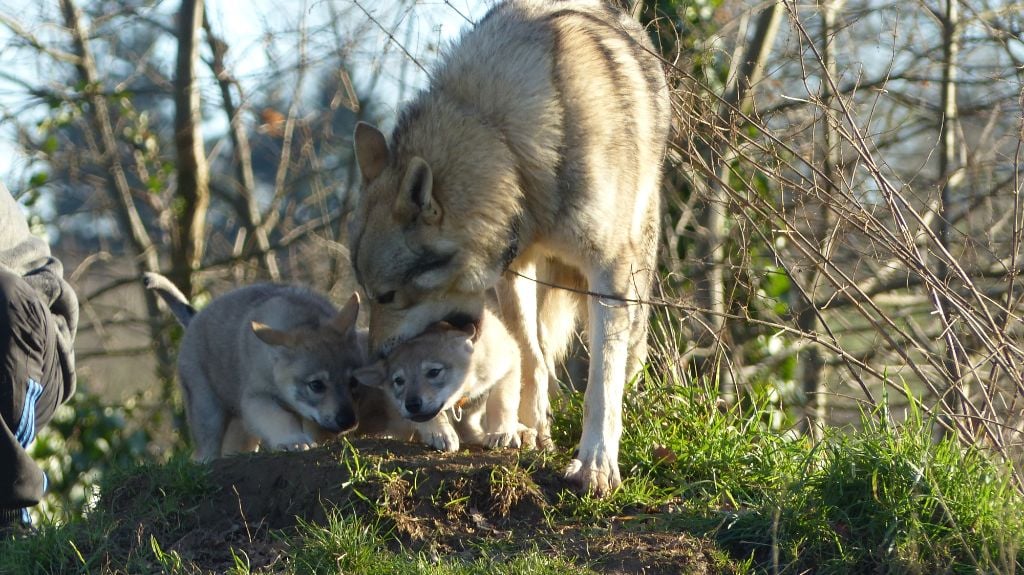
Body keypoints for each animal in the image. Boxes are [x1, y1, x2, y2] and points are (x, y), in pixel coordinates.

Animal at [143, 270, 368, 458]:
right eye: (316, 385)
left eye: (354, 382)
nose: (348, 421)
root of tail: (194, 316)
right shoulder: (256, 399)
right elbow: (280, 417)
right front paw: (294, 441)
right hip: (208, 413)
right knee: (203, 455)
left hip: (241, 430)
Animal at [352, 306, 520, 450]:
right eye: (399, 381)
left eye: (434, 372)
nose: (412, 405)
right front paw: (440, 433)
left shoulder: (509, 364)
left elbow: (500, 402)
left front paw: (500, 433)